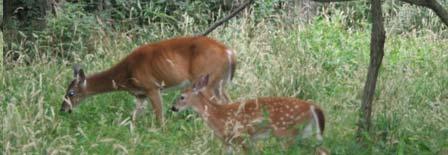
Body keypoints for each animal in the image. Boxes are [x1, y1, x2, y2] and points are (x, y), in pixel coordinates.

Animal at [61, 35, 240, 124]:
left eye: (71, 93)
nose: (63, 109)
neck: (126, 73)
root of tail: (229, 52)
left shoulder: (152, 87)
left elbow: (159, 116)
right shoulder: (140, 95)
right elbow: (133, 116)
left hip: (207, 81)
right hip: (219, 83)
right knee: (228, 101)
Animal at [171, 75, 326, 154]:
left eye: (182, 97)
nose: (173, 108)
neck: (218, 115)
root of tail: (312, 106)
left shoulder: (242, 138)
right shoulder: (227, 142)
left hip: (287, 132)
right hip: (304, 132)